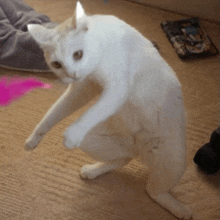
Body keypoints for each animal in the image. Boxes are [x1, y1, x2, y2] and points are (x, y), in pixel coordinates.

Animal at [24, 1, 192, 218]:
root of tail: (138, 149)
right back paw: (93, 170)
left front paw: (70, 135)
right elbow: (53, 113)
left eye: (78, 54)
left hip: (173, 158)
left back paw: (180, 209)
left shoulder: (117, 87)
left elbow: (93, 111)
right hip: (92, 141)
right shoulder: (82, 88)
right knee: (124, 158)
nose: (71, 74)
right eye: (57, 64)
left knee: (153, 190)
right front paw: (33, 139)